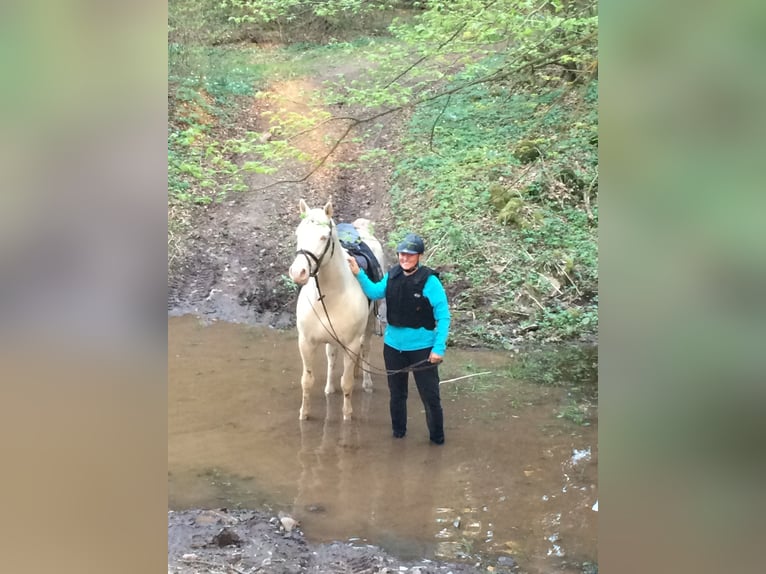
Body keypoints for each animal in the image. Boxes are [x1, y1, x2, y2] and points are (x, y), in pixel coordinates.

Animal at [288, 199, 385, 421]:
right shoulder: (306, 342)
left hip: (369, 324)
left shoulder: (351, 344)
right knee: (331, 356)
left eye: (324, 237)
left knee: (366, 349)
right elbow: (307, 380)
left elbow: (347, 382)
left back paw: (366, 383)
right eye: (298, 233)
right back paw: (329, 388)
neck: (331, 294)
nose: (298, 272)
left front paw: (347, 415)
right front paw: (304, 414)